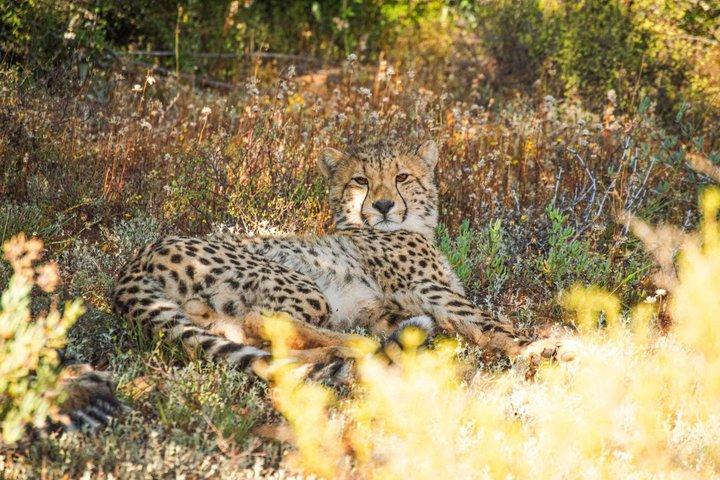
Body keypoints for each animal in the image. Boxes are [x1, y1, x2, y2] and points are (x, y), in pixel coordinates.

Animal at [110, 139, 561, 380]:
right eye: (360, 180)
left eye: (402, 177)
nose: (382, 205)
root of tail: (134, 260)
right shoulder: (430, 291)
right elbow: (493, 322)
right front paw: (552, 347)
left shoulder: (385, 307)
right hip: (298, 283)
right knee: (262, 319)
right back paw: (357, 347)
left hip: (214, 315)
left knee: (251, 341)